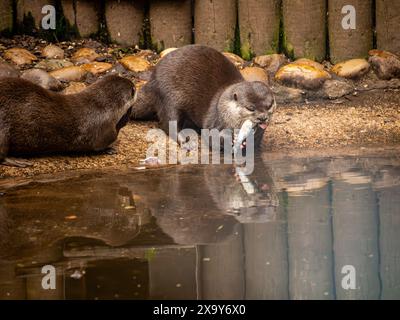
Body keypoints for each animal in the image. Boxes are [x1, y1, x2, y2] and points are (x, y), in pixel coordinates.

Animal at [0, 75, 136, 168]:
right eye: (133, 88)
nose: (134, 84)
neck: (101, 106)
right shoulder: (105, 132)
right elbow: (99, 146)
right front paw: (110, 148)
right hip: (3, 131)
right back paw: (18, 161)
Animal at [131, 44, 276, 151]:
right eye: (250, 108)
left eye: (269, 105)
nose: (263, 117)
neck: (223, 106)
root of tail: (152, 79)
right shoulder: (214, 118)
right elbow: (211, 136)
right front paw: (229, 138)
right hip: (169, 97)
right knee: (168, 124)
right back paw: (186, 142)